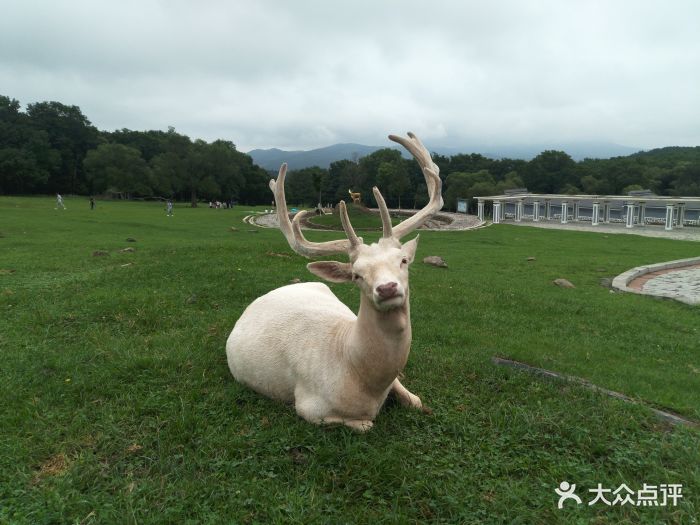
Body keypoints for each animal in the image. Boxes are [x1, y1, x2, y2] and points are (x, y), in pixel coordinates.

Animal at [228, 131, 442, 430]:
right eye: (356, 274)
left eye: (402, 261)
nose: (387, 288)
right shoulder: (309, 407)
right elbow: (365, 425)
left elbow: (417, 401)